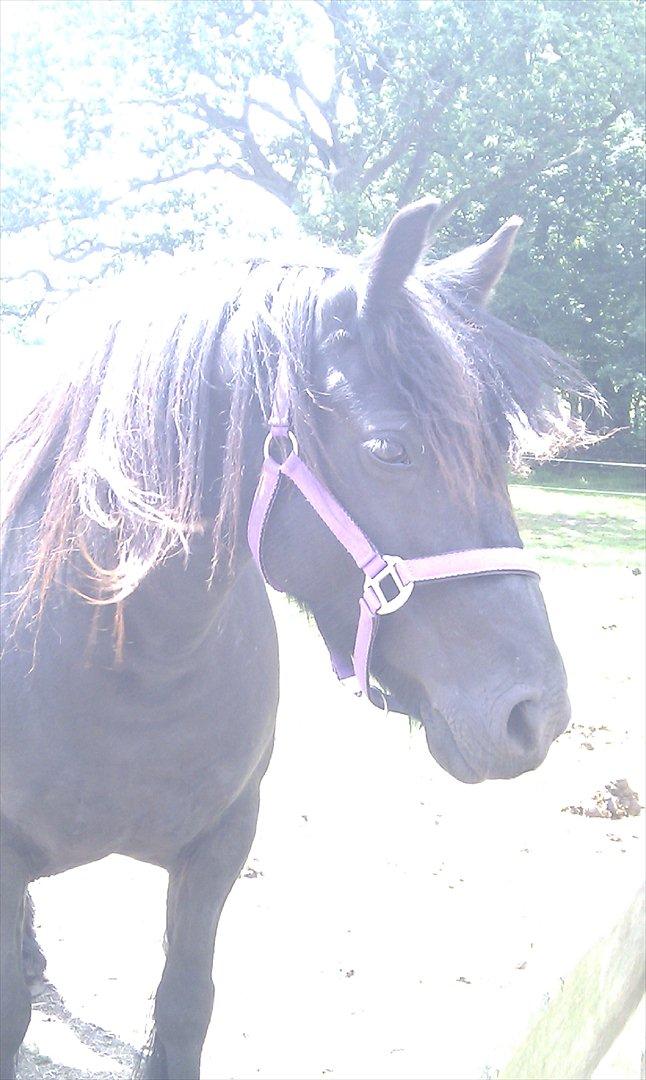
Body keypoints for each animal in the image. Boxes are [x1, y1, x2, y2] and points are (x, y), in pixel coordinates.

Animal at [0, 196, 596, 1079]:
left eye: (499, 451)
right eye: (390, 448)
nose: (537, 714)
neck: (125, 662)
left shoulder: (222, 845)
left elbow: (185, 1007)